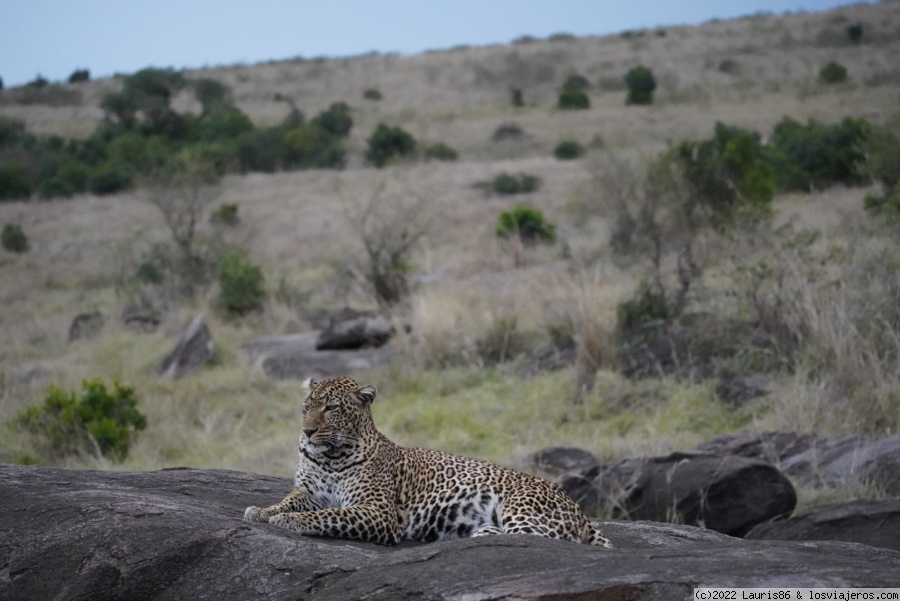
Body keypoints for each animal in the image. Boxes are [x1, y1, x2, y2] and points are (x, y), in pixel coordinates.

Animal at [243, 376, 616, 548]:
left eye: (331, 408)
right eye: (306, 407)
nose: (306, 432)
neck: (330, 457)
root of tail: (578, 508)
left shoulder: (377, 511)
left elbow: (329, 515)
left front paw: (291, 522)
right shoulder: (307, 491)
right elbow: (287, 501)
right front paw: (261, 511)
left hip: (522, 512)